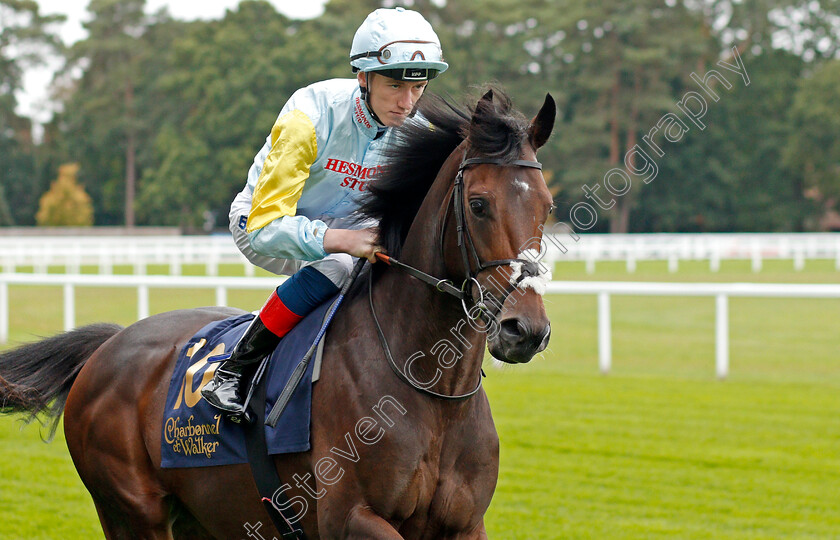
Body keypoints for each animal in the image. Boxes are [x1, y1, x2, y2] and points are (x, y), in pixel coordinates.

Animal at [1, 89, 556, 540]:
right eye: (479, 204)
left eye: (548, 206)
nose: (525, 330)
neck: (433, 394)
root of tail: (109, 345)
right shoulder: (350, 517)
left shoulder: (465, 523)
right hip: (131, 511)